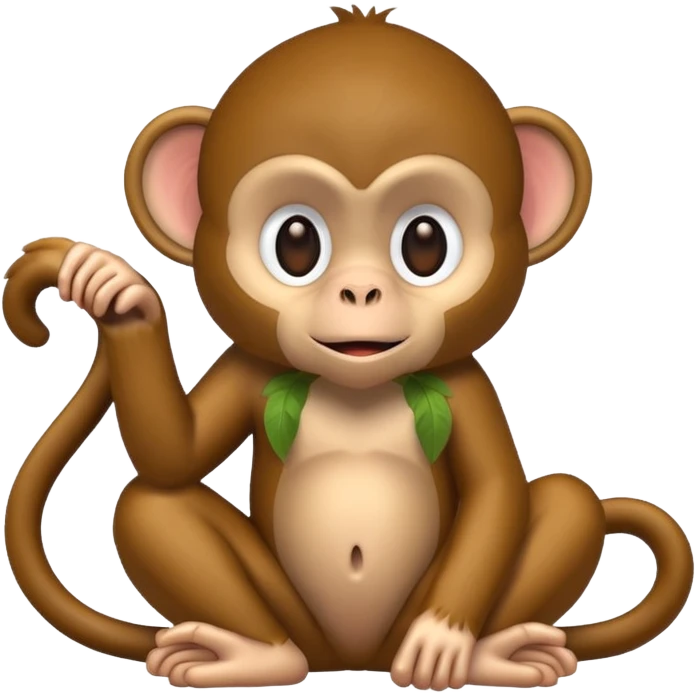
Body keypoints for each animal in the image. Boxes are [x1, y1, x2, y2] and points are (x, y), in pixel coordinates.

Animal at [2, 4, 693, 692]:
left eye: (425, 243)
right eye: (296, 242)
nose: (360, 290)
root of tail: (355, 659)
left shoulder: (464, 385)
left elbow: (498, 492)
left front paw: (446, 639)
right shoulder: (249, 367)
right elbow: (173, 456)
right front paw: (117, 289)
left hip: (401, 625)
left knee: (571, 503)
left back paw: (491, 654)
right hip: (296, 620)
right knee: (151, 506)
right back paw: (255, 656)